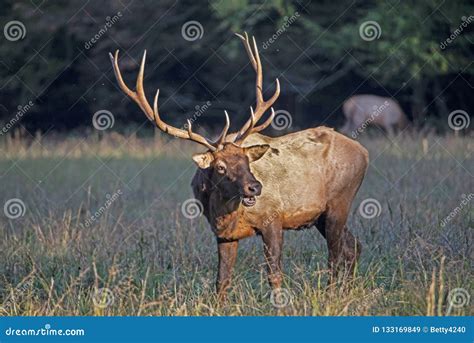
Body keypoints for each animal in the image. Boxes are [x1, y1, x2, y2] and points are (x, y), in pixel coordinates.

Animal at [109, 33, 368, 300]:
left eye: (246, 161)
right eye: (221, 167)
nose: (255, 187)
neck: (226, 211)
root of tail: (364, 152)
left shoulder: (273, 219)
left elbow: (274, 274)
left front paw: (282, 304)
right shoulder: (223, 234)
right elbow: (222, 280)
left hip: (339, 201)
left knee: (336, 255)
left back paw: (332, 294)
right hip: (320, 216)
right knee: (353, 246)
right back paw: (346, 291)